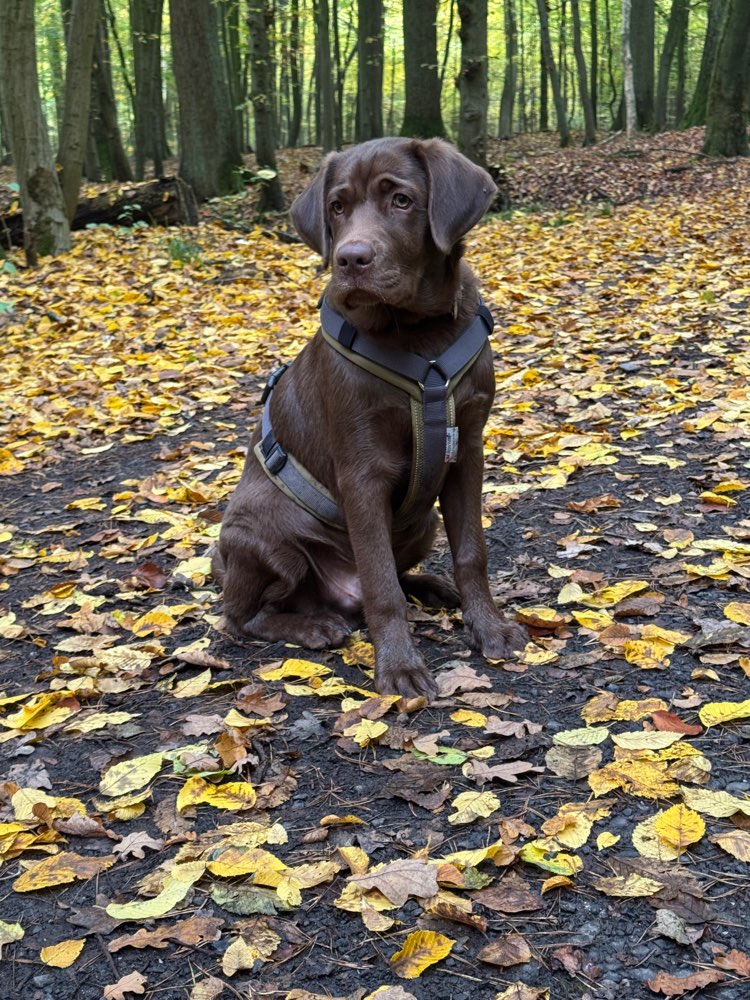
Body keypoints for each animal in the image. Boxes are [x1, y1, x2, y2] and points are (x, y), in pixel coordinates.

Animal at [212, 137, 524, 700]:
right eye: (337, 207)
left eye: (401, 200)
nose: (350, 258)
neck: (418, 335)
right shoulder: (362, 471)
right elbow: (381, 586)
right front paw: (399, 668)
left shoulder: (467, 448)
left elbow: (472, 553)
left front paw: (489, 628)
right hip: (263, 533)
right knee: (242, 616)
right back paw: (313, 625)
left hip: (422, 521)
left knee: (393, 575)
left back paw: (430, 586)